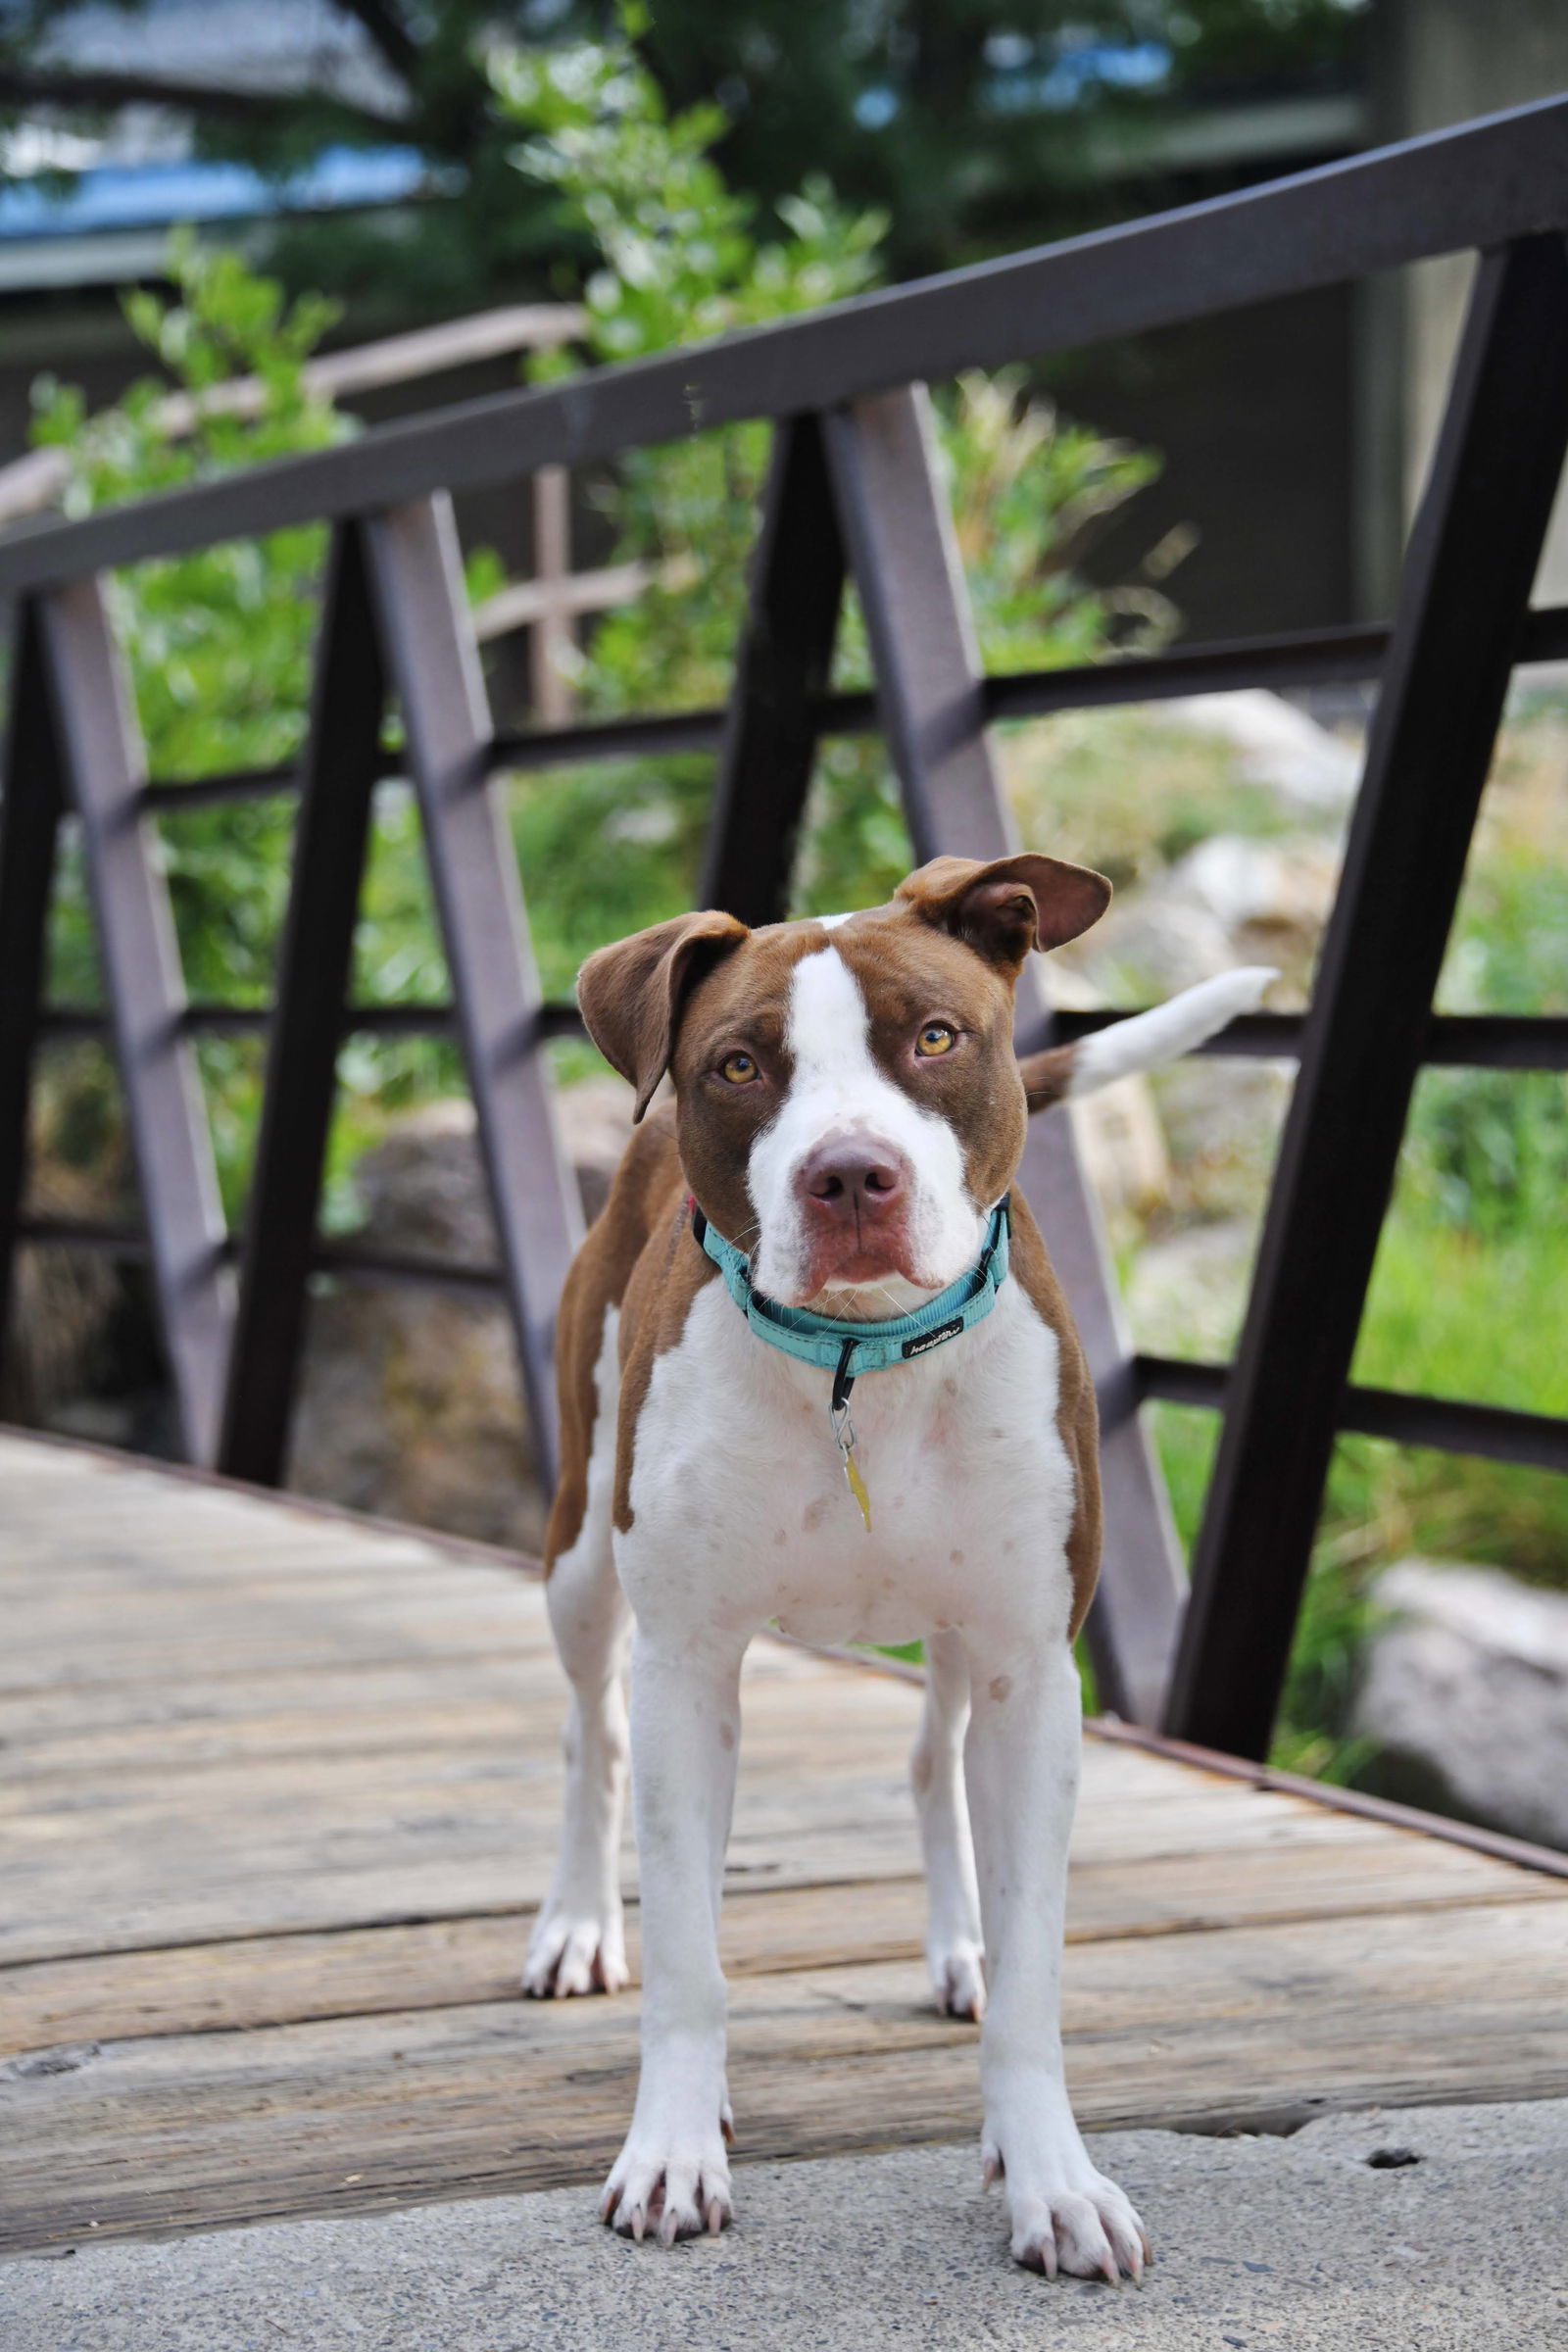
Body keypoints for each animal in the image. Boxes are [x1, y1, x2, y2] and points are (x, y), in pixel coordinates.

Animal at [526, 860, 1278, 2277]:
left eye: (934, 1038)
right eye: (740, 1064)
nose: (850, 1176)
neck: (857, 1364)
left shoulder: (1032, 1669)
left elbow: (1037, 1970)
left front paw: (1050, 2177)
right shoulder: (688, 1663)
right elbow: (690, 1954)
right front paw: (673, 2149)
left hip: (961, 1636)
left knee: (936, 1762)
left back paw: (959, 1945)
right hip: (582, 1558)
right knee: (595, 1740)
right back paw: (580, 1925)